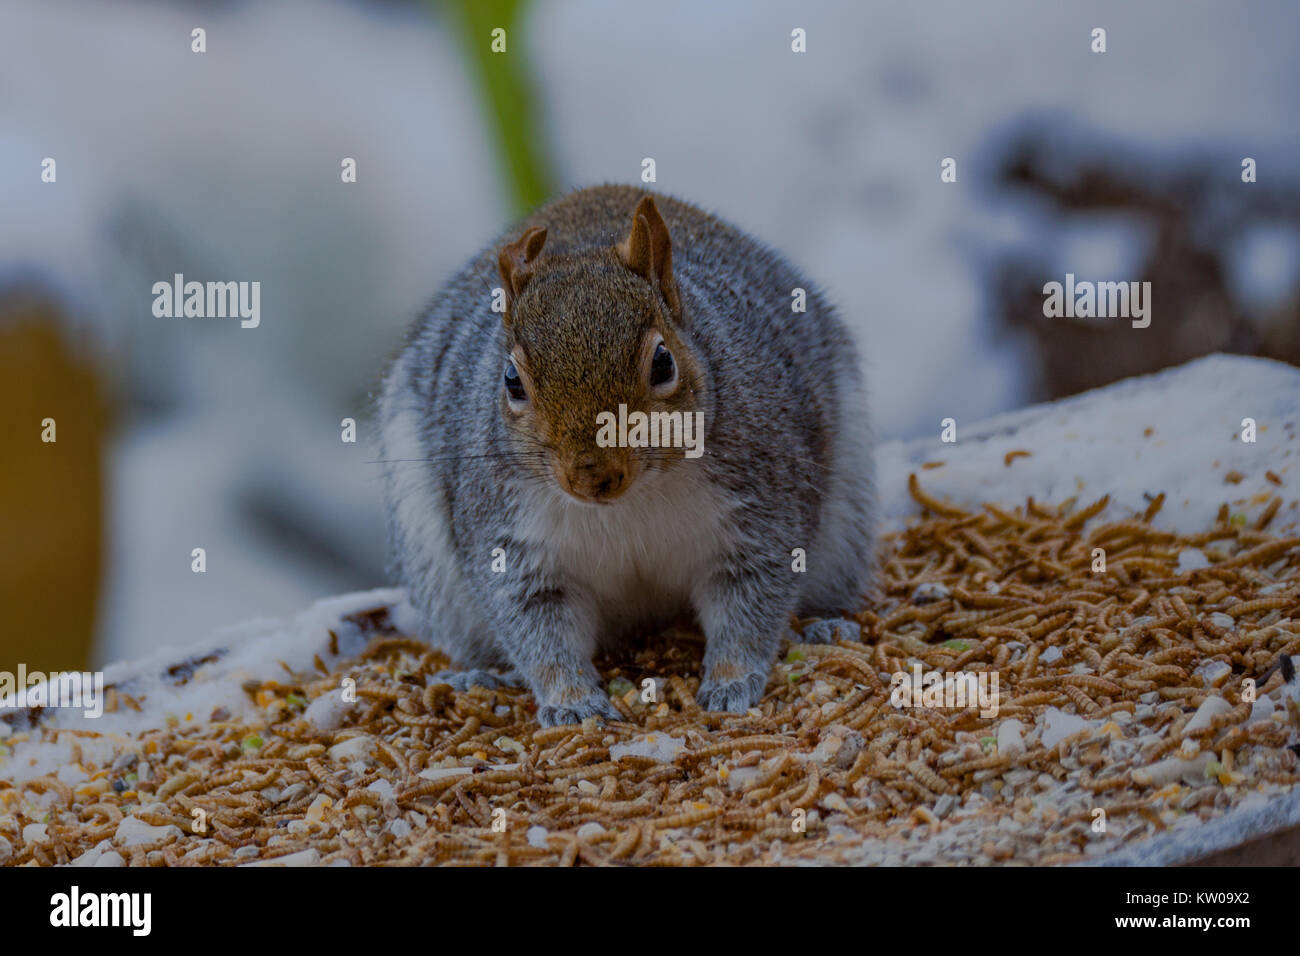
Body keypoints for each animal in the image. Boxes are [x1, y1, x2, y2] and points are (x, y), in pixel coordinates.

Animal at [379, 184, 878, 723]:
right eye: (511, 381)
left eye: (663, 363)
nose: (591, 476)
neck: (630, 503)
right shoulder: (511, 537)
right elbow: (536, 624)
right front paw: (572, 701)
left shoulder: (761, 504)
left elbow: (750, 598)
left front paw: (732, 680)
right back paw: (480, 674)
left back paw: (826, 625)